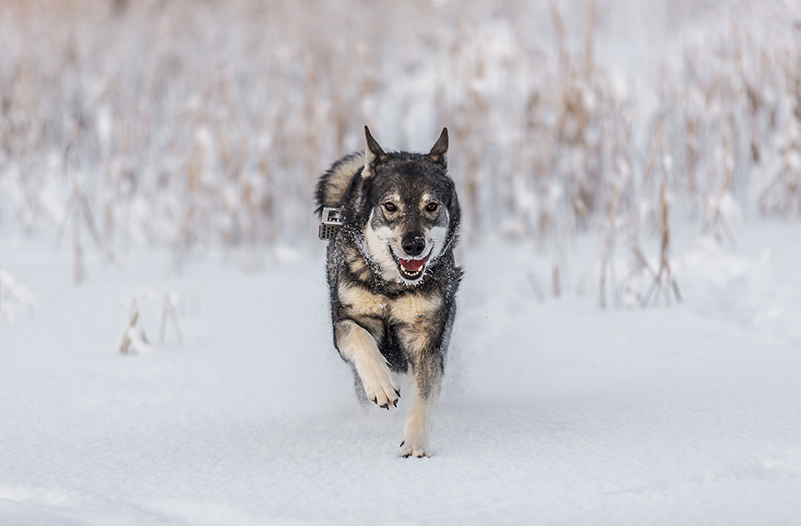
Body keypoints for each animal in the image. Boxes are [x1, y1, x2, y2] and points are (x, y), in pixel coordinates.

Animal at [314, 127, 462, 458]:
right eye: (390, 206)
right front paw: (381, 385)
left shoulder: (425, 344)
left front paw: (416, 444)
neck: (392, 288)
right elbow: (360, 338)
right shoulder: (344, 323)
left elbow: (422, 399)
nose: (413, 245)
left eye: (431, 206)